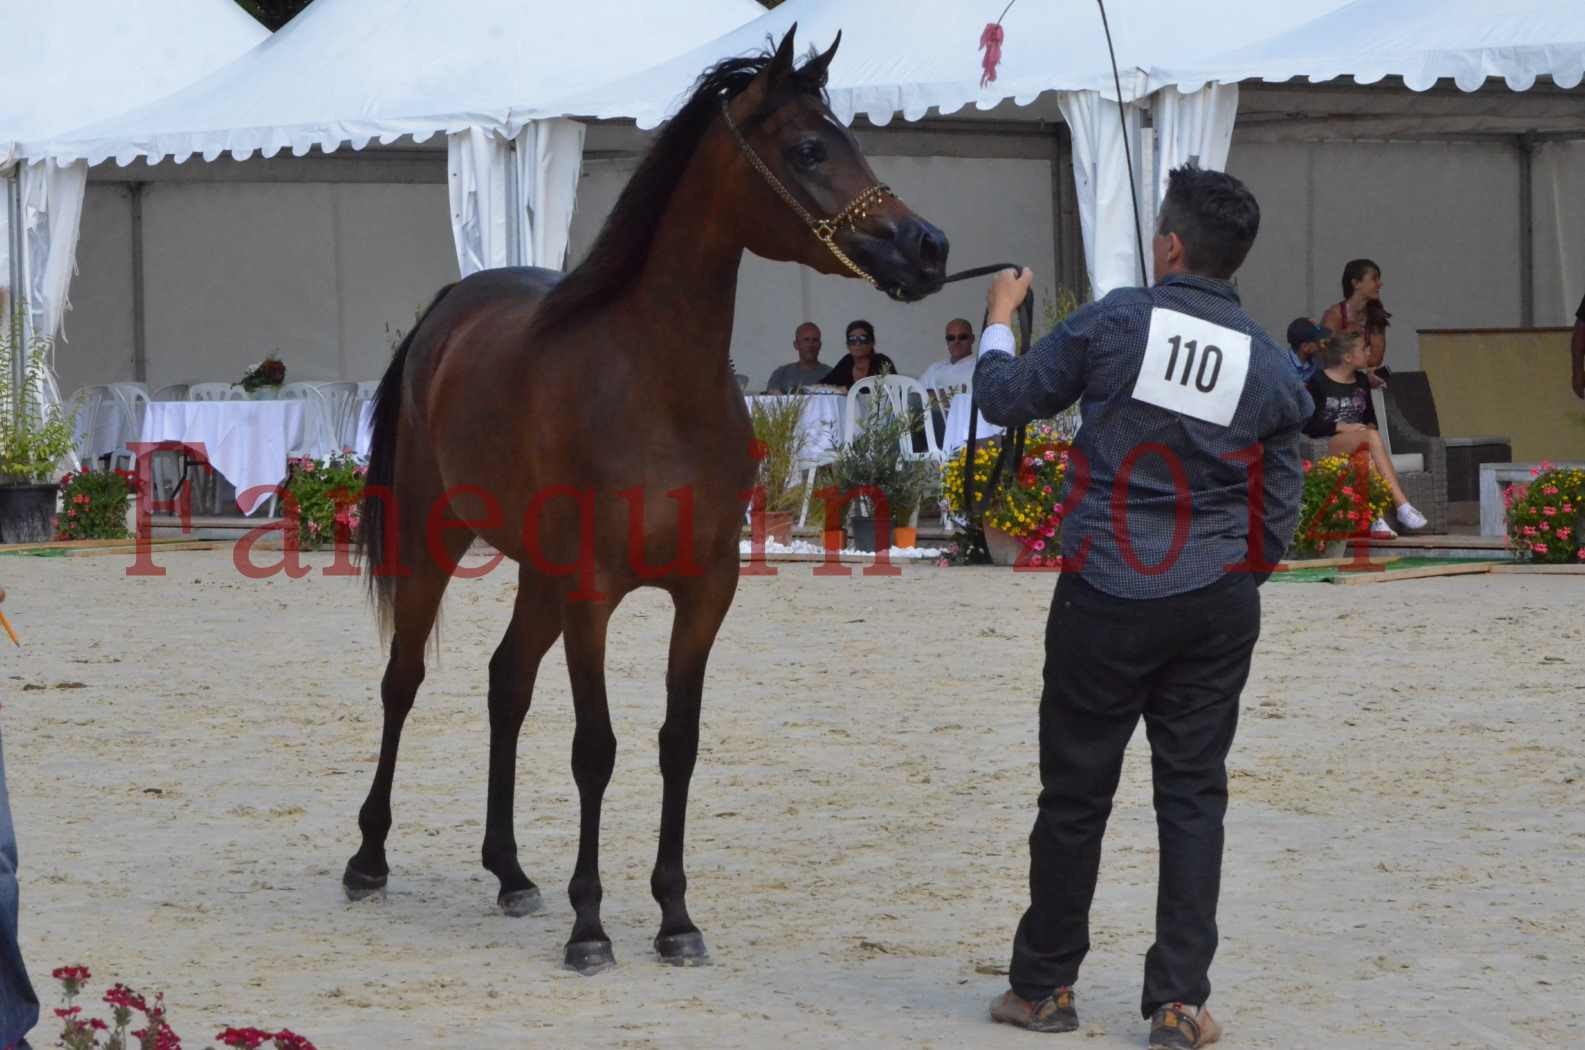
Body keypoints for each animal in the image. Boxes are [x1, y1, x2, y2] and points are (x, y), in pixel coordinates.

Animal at [343, 26, 938, 977]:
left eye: (850, 137)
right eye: (809, 149)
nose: (927, 246)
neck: (658, 387)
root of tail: (450, 309)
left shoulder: (703, 593)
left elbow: (675, 745)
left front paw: (674, 917)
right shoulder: (594, 593)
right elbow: (596, 749)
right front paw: (590, 928)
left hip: (537, 574)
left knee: (506, 684)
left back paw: (510, 872)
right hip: (435, 542)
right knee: (403, 680)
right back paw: (368, 858)